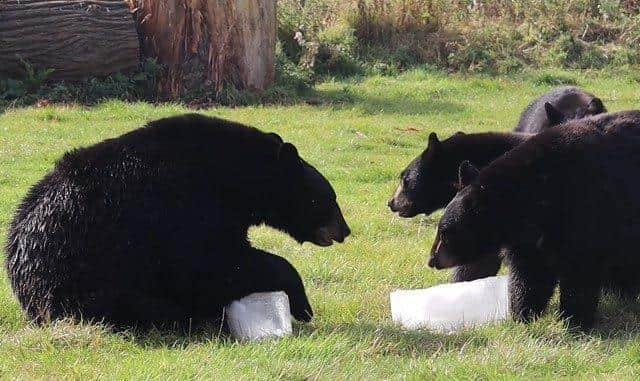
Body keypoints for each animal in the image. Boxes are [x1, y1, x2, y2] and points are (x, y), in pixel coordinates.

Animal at [6, 113, 350, 330]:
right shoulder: (185, 209)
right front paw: (302, 305)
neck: (232, 174)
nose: (345, 230)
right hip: (86, 280)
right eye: (328, 199)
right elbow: (211, 263)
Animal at [428, 109, 640, 326]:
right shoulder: (530, 238)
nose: (432, 259)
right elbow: (530, 273)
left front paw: (575, 321)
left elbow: (580, 270)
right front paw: (523, 316)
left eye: (445, 233)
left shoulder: (587, 210)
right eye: (440, 230)